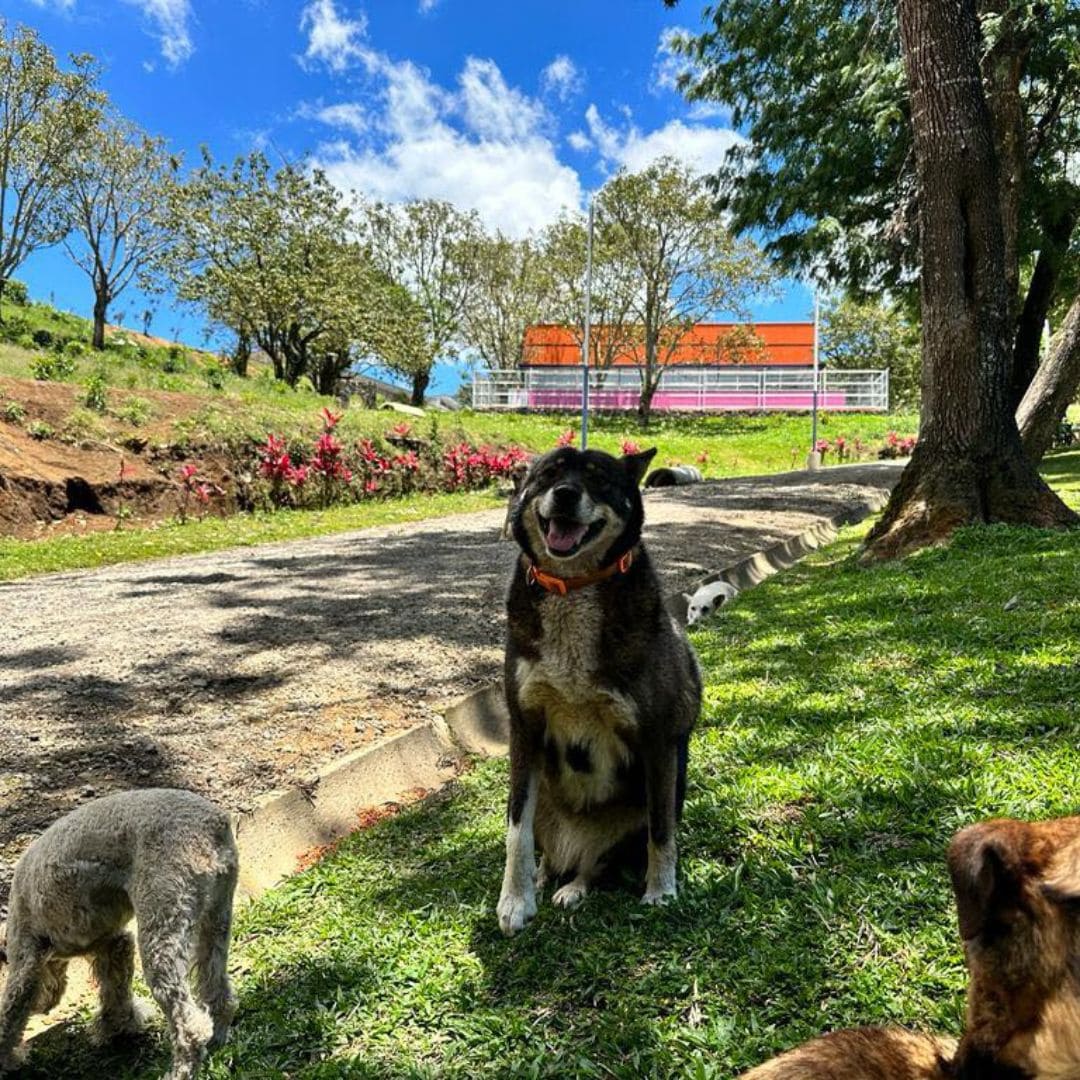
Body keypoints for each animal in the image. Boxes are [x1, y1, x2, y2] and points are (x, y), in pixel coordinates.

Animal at [0, 786, 238, 1080]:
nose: (41, 1007)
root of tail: (213, 823)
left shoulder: (25, 958)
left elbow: (11, 1012)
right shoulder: (113, 943)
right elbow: (116, 988)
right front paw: (118, 1025)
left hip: (162, 930)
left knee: (189, 1026)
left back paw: (180, 1071)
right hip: (215, 922)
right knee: (219, 993)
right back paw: (217, 1040)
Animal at [494, 442, 699, 933]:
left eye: (600, 479)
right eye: (549, 474)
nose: (566, 495)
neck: (573, 587)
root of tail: (575, 844)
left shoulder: (658, 740)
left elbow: (662, 830)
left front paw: (661, 891)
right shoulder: (525, 729)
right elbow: (515, 830)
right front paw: (515, 900)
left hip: (633, 817)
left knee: (597, 865)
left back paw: (575, 886)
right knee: (548, 853)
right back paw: (545, 875)